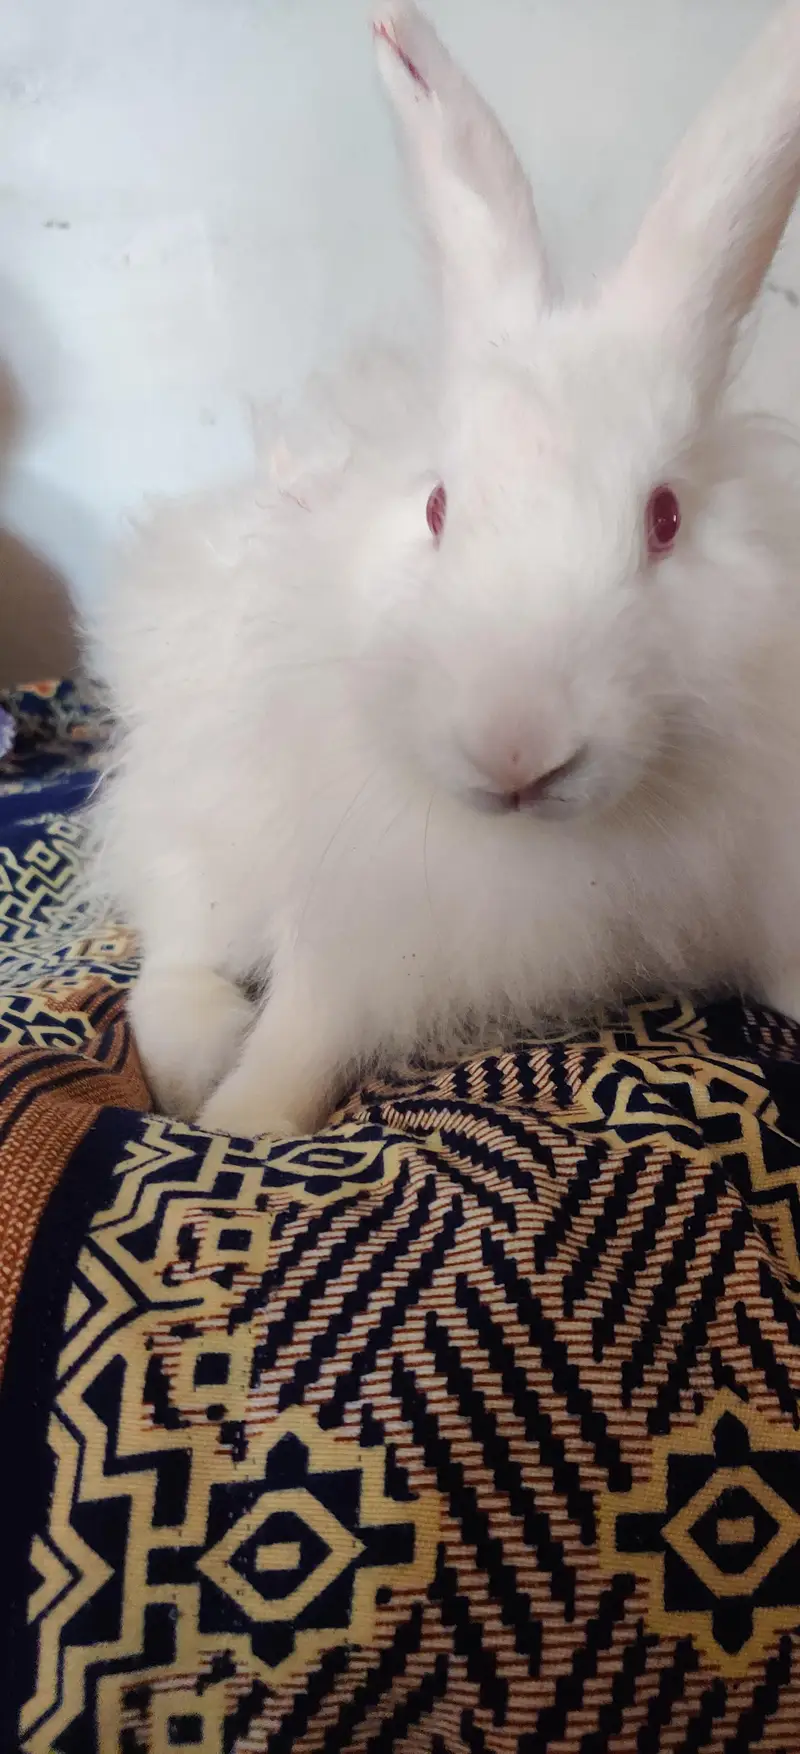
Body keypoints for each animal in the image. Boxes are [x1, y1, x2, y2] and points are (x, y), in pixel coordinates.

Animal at [89, 0, 800, 1142]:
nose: (517, 749)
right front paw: (240, 1125)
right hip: (195, 816)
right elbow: (298, 1038)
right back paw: (198, 1064)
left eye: (664, 518)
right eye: (436, 507)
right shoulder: (345, 921)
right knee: (171, 952)